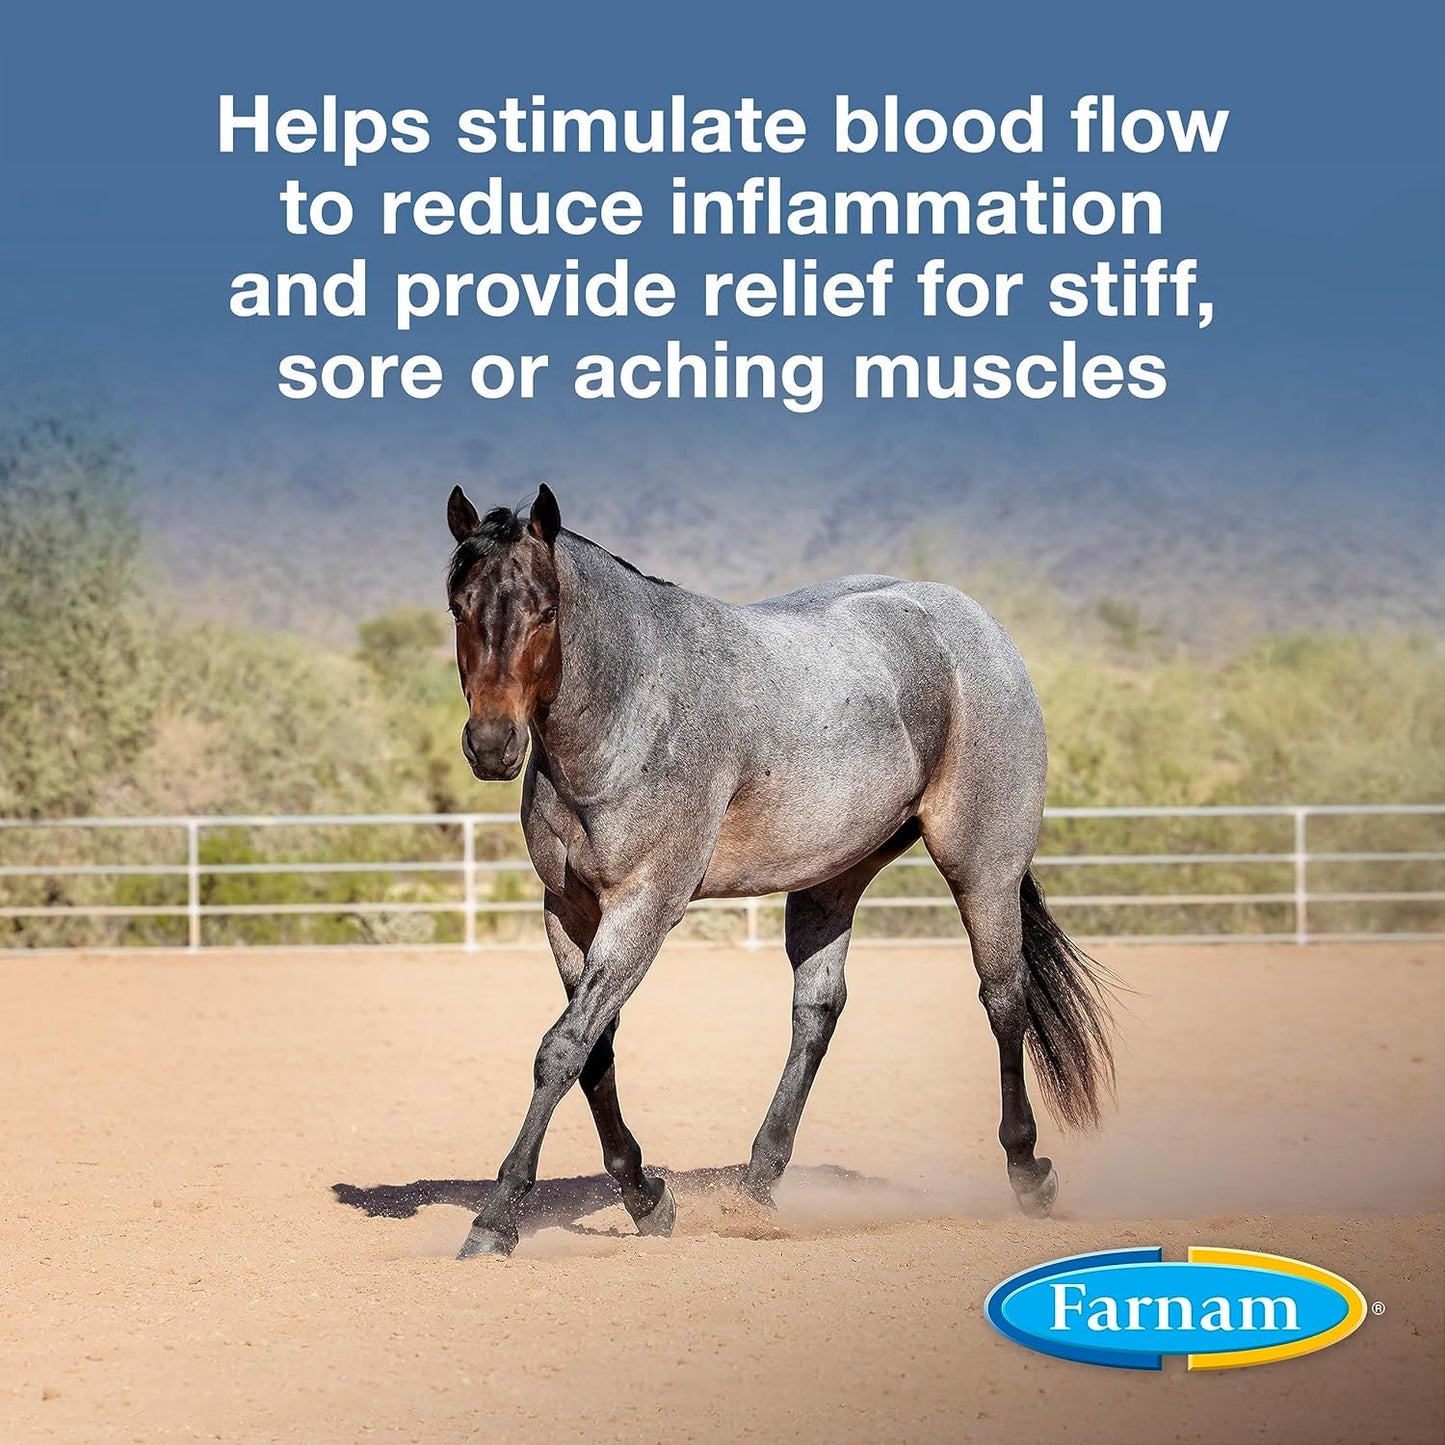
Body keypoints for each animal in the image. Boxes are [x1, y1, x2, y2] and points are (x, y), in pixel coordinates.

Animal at [443, 483, 1116, 1258]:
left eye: (547, 611)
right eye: (459, 606)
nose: (493, 744)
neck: (633, 706)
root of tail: (974, 623)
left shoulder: (644, 906)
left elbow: (562, 1049)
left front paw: (495, 1220)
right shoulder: (569, 910)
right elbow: (593, 1051)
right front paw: (646, 1197)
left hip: (983, 869)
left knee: (1004, 998)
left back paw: (1028, 1171)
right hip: (832, 877)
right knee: (817, 1010)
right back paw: (758, 1184)